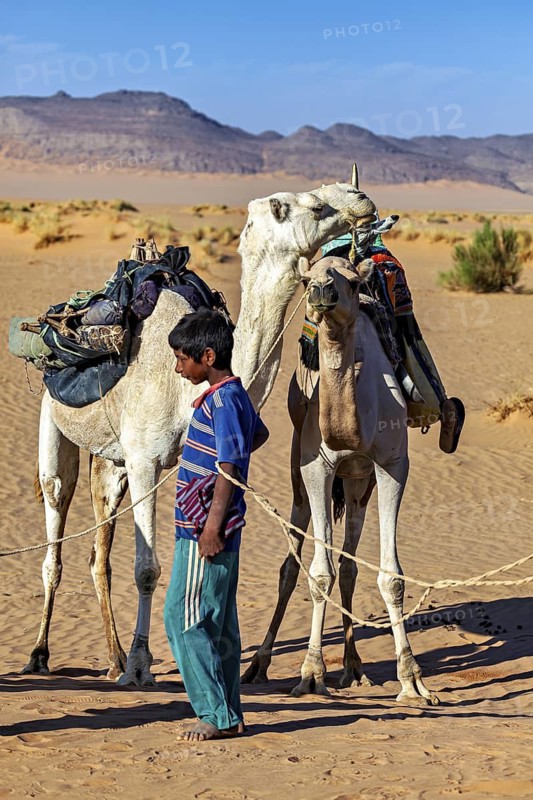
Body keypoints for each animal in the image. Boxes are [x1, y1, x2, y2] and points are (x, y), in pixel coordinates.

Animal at [23, 182, 379, 686]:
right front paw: (141, 667)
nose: (359, 196)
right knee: (55, 525)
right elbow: (147, 568)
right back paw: (42, 654)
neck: (185, 385)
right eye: (305, 205)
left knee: (98, 555)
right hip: (54, 426)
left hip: (111, 461)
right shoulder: (144, 460)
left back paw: (111, 658)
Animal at [242, 255, 438, 705]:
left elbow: (390, 577)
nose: (321, 293)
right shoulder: (315, 467)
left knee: (348, 567)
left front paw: (412, 680)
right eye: (306, 280)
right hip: (298, 471)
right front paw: (311, 673)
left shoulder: (391, 464)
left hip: (358, 485)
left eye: (350, 281)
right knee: (290, 566)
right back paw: (259, 663)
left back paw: (353, 667)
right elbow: (318, 574)